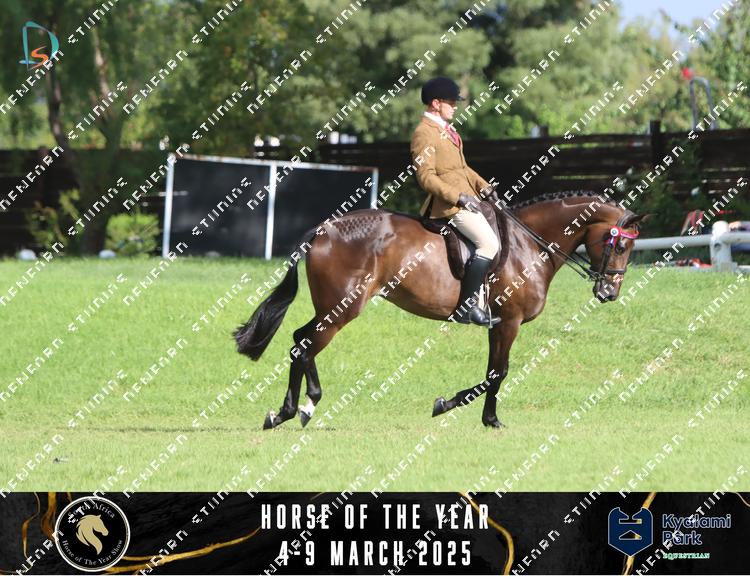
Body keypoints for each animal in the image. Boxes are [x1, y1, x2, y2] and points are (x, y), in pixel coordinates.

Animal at [233, 191, 647, 430]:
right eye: (620, 245)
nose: (609, 292)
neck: (528, 245)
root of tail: (324, 229)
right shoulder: (508, 322)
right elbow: (498, 373)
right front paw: (464, 411)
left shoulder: (497, 324)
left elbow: (492, 372)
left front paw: (475, 414)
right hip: (342, 308)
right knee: (305, 344)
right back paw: (295, 410)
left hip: (332, 308)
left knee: (300, 341)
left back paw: (295, 409)